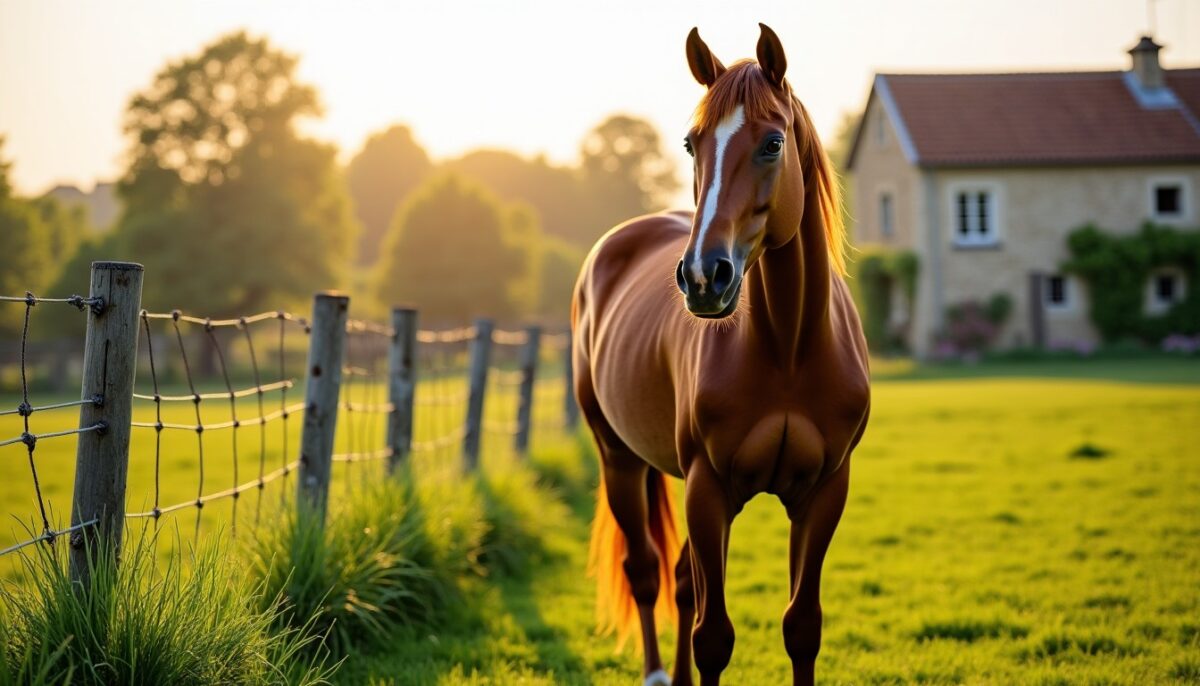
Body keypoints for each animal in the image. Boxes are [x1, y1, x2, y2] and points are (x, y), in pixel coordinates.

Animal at [571, 23, 871, 686]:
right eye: (691, 143)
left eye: (773, 143)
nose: (705, 277)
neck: (788, 348)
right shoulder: (709, 491)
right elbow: (713, 637)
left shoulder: (824, 494)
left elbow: (801, 626)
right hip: (619, 459)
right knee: (646, 571)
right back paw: (658, 672)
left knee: (682, 581)